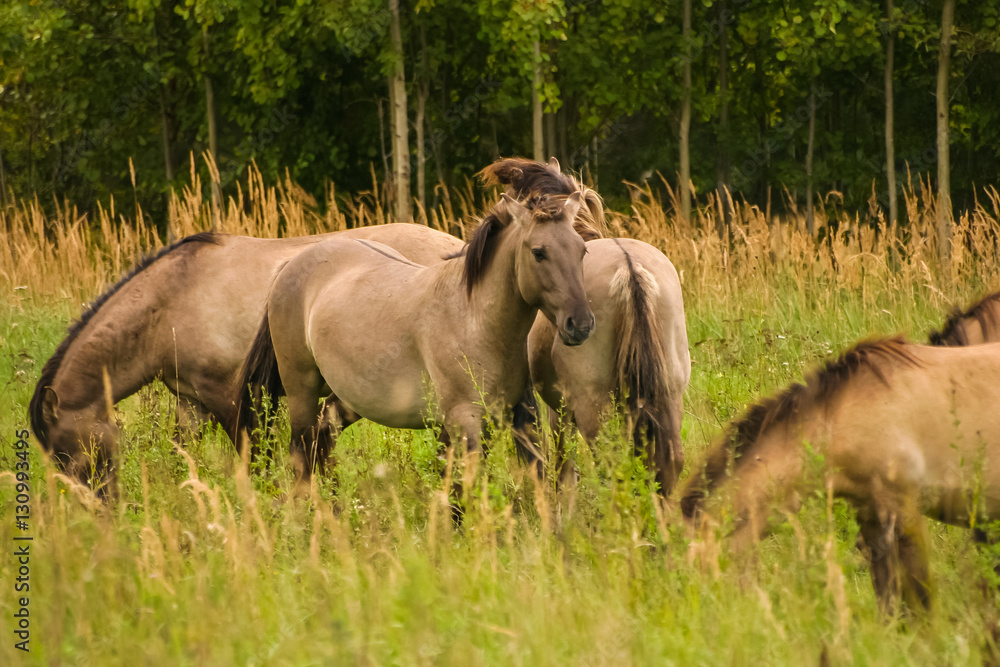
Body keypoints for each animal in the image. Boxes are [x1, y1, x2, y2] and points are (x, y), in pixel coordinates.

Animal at [28, 223, 465, 495]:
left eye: (67, 455)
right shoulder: (191, 403)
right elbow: (182, 456)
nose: (100, 508)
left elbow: (255, 461)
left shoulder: (230, 399)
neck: (171, 301)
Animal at [236, 192, 595, 490]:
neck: (473, 317)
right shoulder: (465, 421)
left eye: (582, 250)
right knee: (301, 456)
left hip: (349, 396)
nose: (581, 324)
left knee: (323, 439)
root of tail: (291, 266)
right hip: (301, 392)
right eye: (538, 253)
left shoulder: (513, 416)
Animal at [482, 159, 690, 496]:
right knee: (668, 463)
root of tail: (630, 268)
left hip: (595, 408)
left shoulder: (560, 409)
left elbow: (563, 463)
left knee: (611, 463)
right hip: (668, 395)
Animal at [679, 337, 1000, 614]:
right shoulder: (871, 514)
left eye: (700, 574)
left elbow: (920, 598)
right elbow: (888, 596)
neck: (841, 417)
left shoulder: (904, 510)